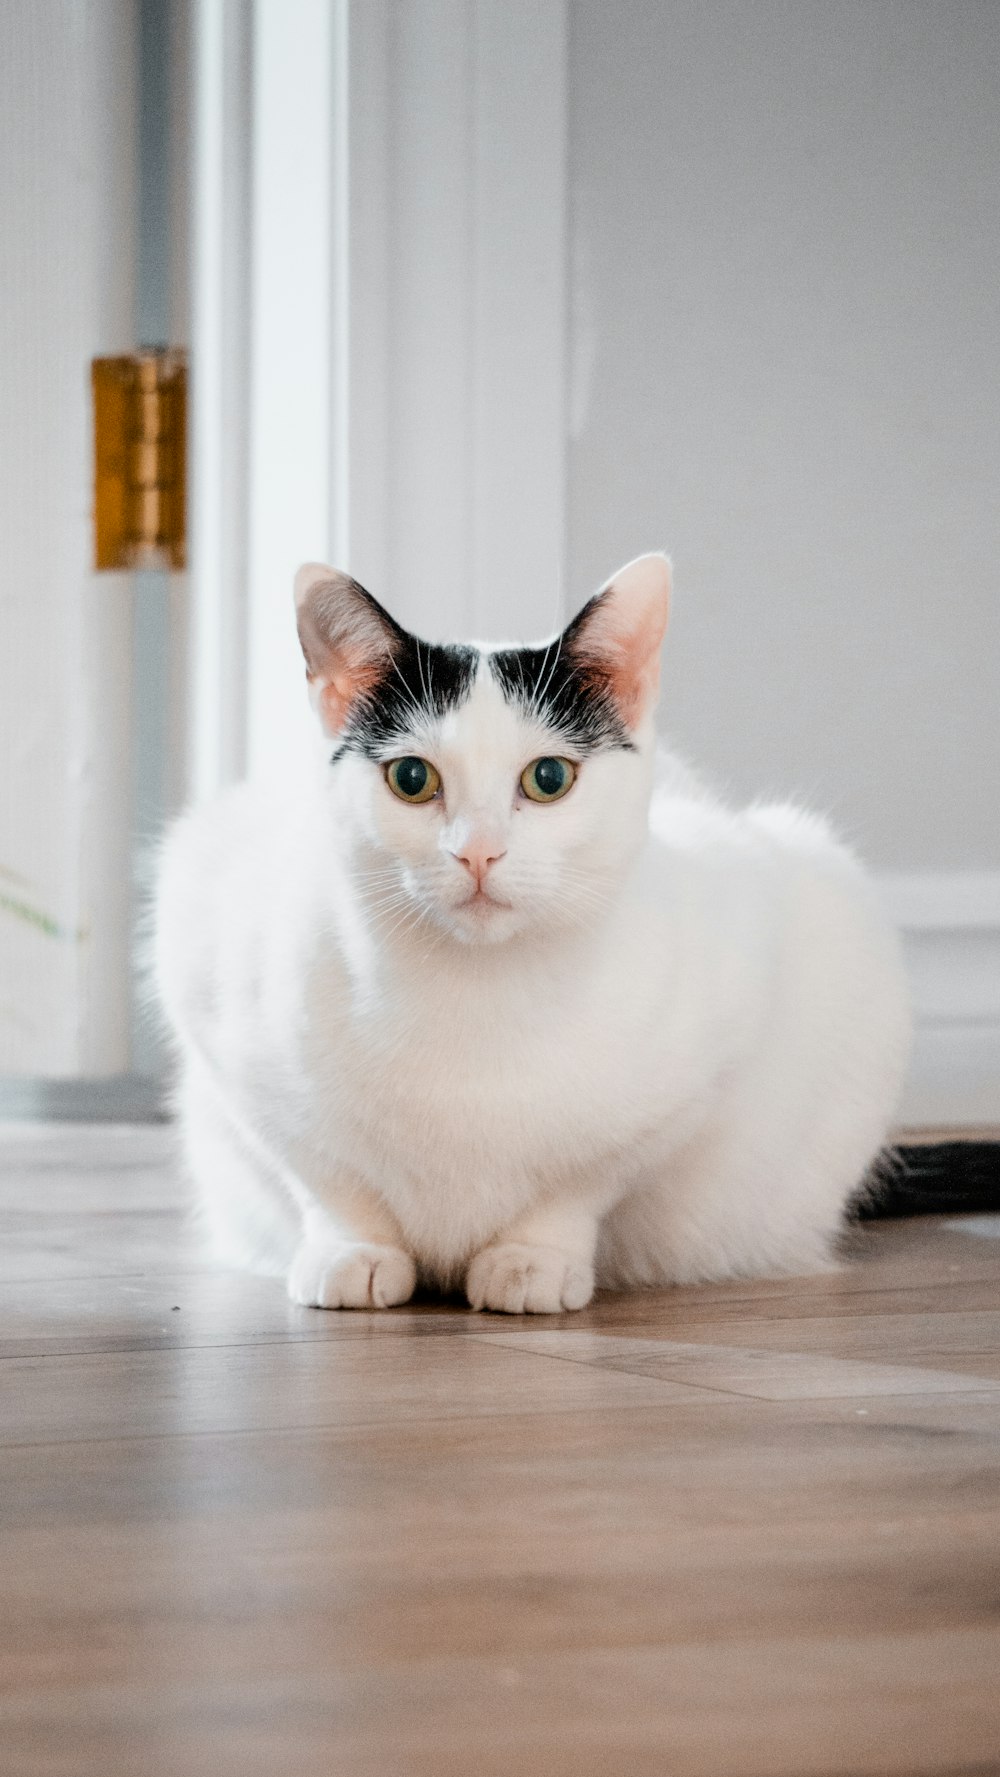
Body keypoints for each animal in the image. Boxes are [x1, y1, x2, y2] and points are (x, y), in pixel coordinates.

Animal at [152, 547, 909, 1314]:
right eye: (411, 777)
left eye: (549, 777)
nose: (479, 852)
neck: (475, 1001)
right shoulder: (219, 998)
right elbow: (325, 1174)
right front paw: (353, 1249)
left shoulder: (709, 1041)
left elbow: (586, 1178)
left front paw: (532, 1256)